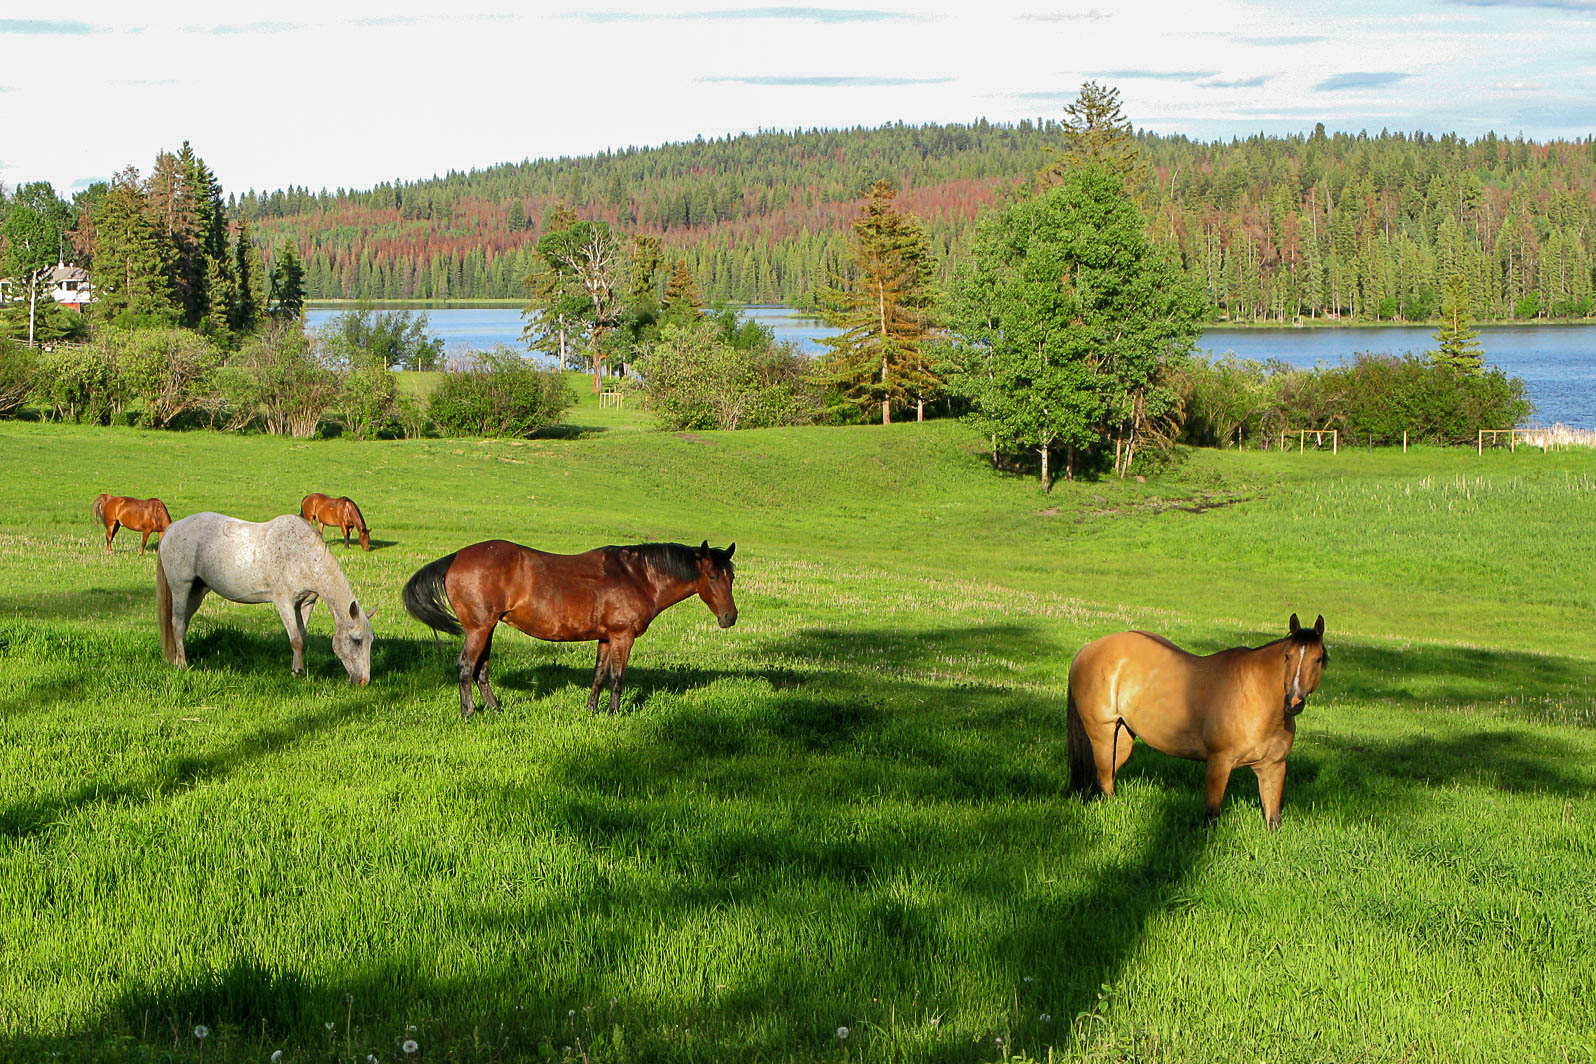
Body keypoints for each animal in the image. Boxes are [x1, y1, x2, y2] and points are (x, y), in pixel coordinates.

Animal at [156, 512, 376, 683]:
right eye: (356, 640)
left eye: (370, 641)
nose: (364, 681)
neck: (302, 555)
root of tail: (172, 528)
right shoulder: (284, 603)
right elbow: (296, 640)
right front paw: (298, 673)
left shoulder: (305, 603)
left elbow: (302, 637)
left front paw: (297, 671)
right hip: (181, 588)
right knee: (177, 623)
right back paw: (182, 665)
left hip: (197, 592)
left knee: (183, 624)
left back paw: (176, 659)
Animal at [402, 539, 737, 717]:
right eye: (712, 577)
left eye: (731, 577)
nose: (730, 617)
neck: (636, 576)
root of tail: (455, 557)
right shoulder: (623, 636)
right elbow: (617, 678)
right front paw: (614, 713)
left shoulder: (606, 638)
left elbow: (599, 676)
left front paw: (592, 711)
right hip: (478, 629)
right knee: (465, 667)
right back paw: (469, 712)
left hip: (488, 630)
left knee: (480, 670)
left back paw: (496, 709)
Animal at [1066, 614, 1328, 830]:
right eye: (1287, 656)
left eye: (1318, 659)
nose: (1294, 702)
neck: (1255, 698)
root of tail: (1087, 649)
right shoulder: (1219, 763)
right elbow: (1211, 816)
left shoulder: (1273, 768)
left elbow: (1273, 820)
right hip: (1102, 735)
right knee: (1103, 782)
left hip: (1121, 740)